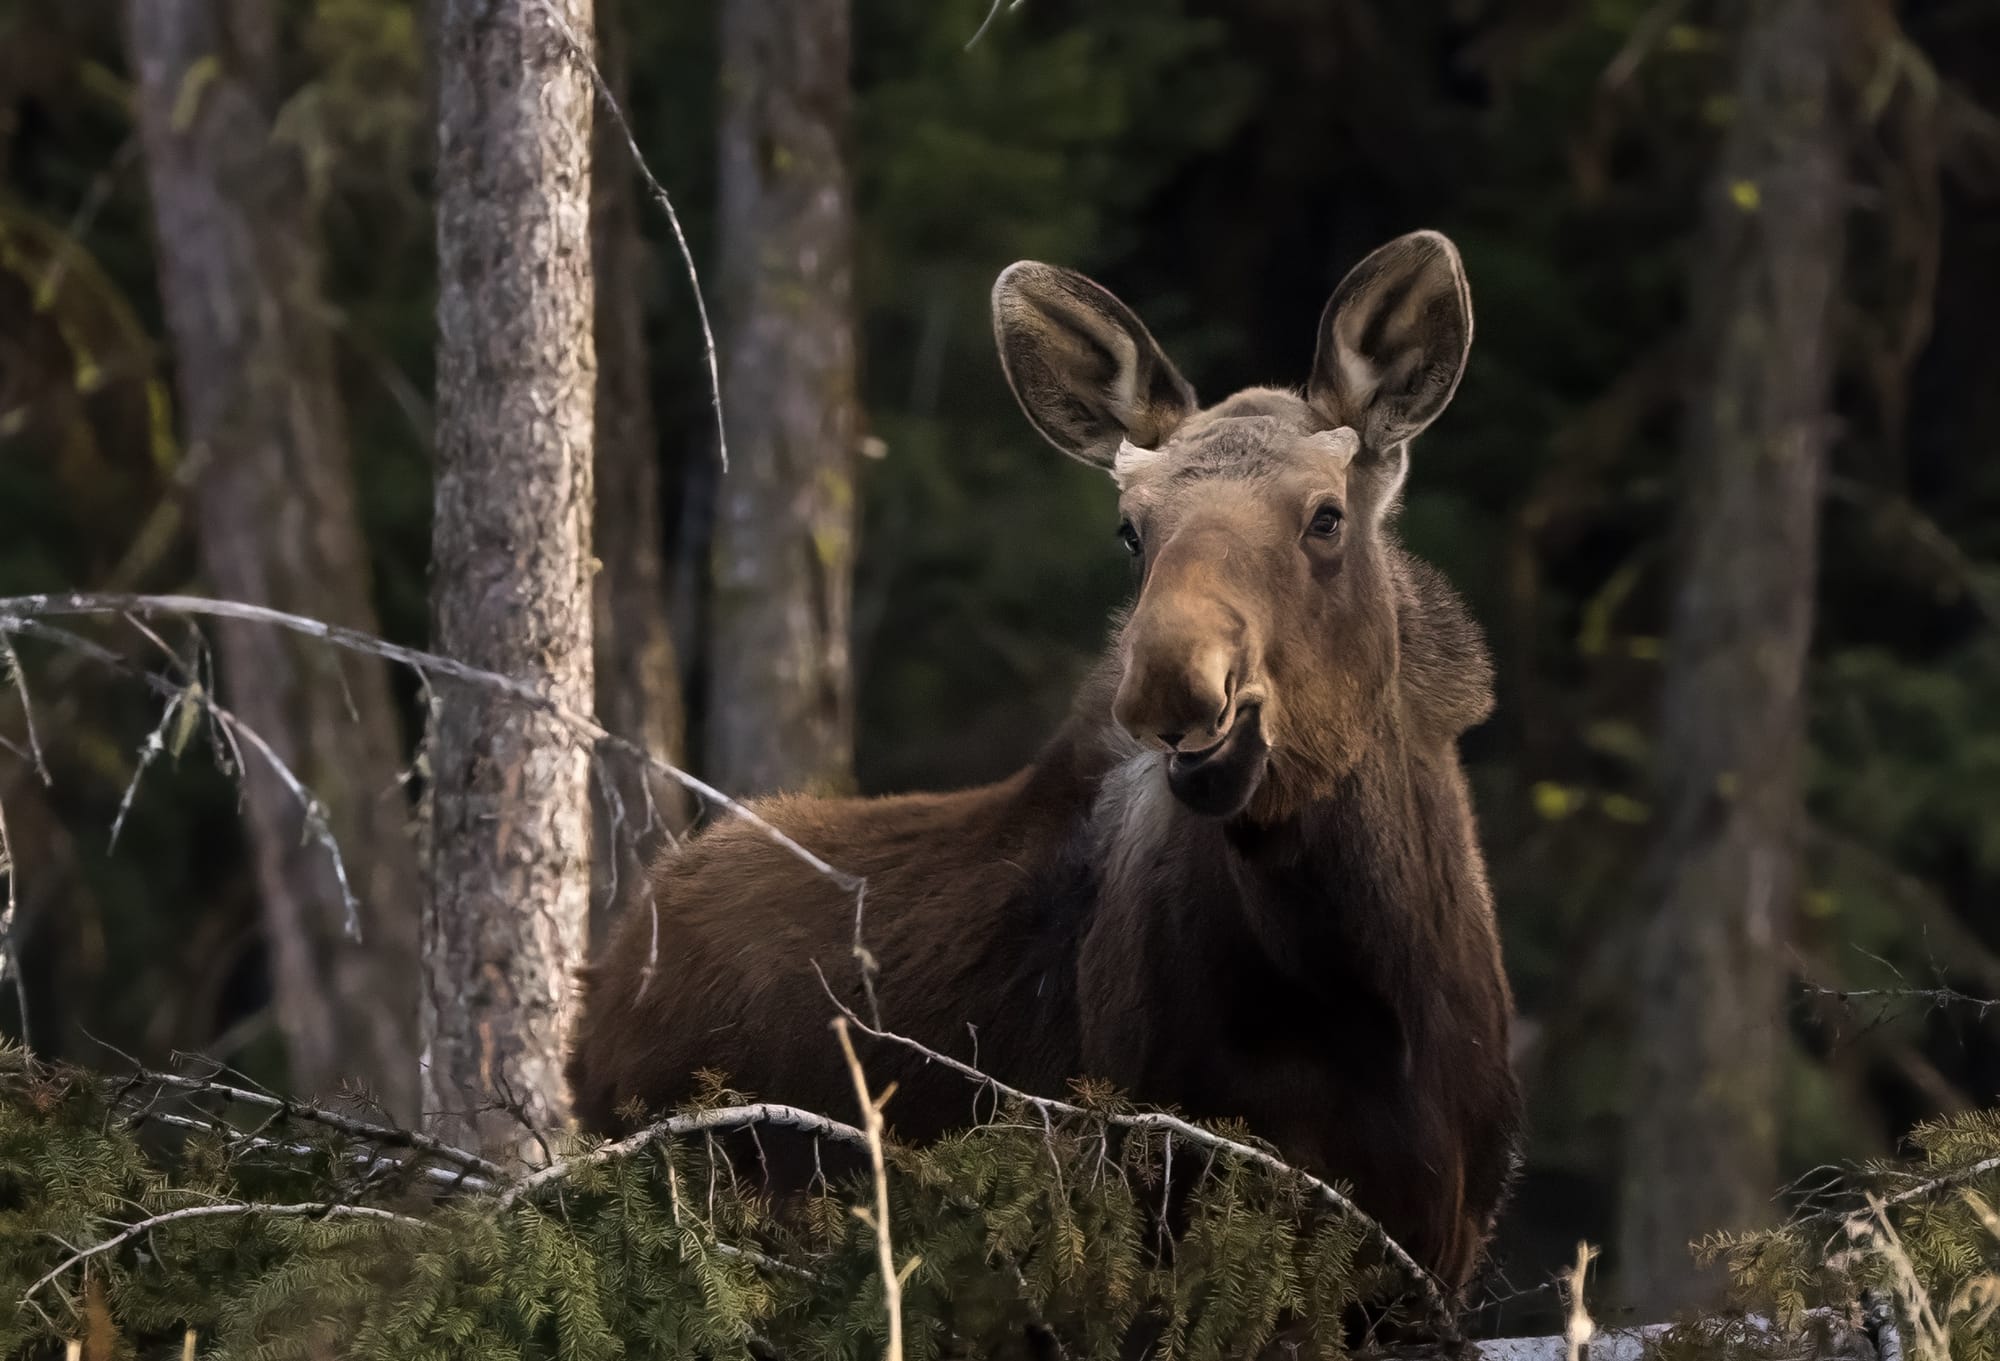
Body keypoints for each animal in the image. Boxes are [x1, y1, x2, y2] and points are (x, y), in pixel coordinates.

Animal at [568, 230, 1523, 1294]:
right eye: (1131, 529)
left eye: (1326, 516)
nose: (1174, 685)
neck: (1356, 989)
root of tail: (601, 989)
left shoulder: (1434, 1258)